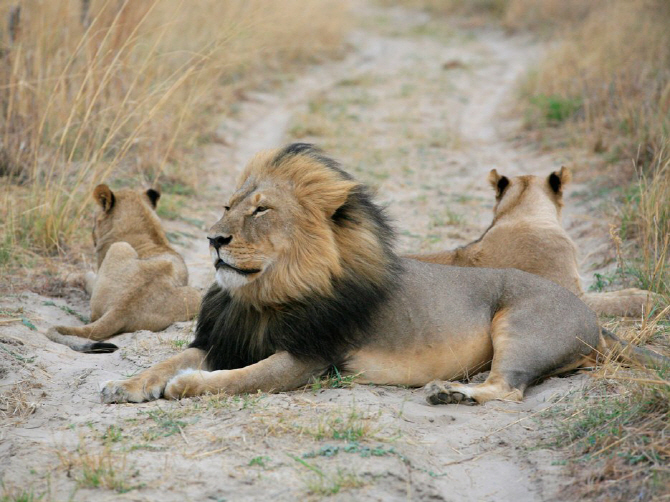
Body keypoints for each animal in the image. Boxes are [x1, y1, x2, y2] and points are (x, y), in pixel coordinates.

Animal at [45, 184, 202, 352]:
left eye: (94, 220)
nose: (92, 235)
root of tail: (120, 309)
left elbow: (88, 278)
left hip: (120, 247)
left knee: (93, 316)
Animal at [406, 169, 660, 318]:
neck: (519, 213)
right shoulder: (573, 297)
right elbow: (621, 303)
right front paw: (654, 298)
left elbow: (619, 294)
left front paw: (641, 290)